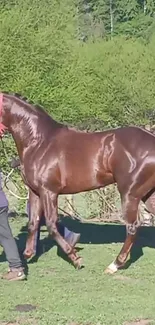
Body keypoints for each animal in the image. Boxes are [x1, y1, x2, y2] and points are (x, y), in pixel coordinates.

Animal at [0, 92, 155, 272]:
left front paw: (75, 259)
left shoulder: (49, 191)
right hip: (148, 195)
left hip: (130, 194)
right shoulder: (35, 191)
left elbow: (52, 225)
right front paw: (26, 256)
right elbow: (33, 222)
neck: (39, 142)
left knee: (132, 227)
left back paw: (114, 265)